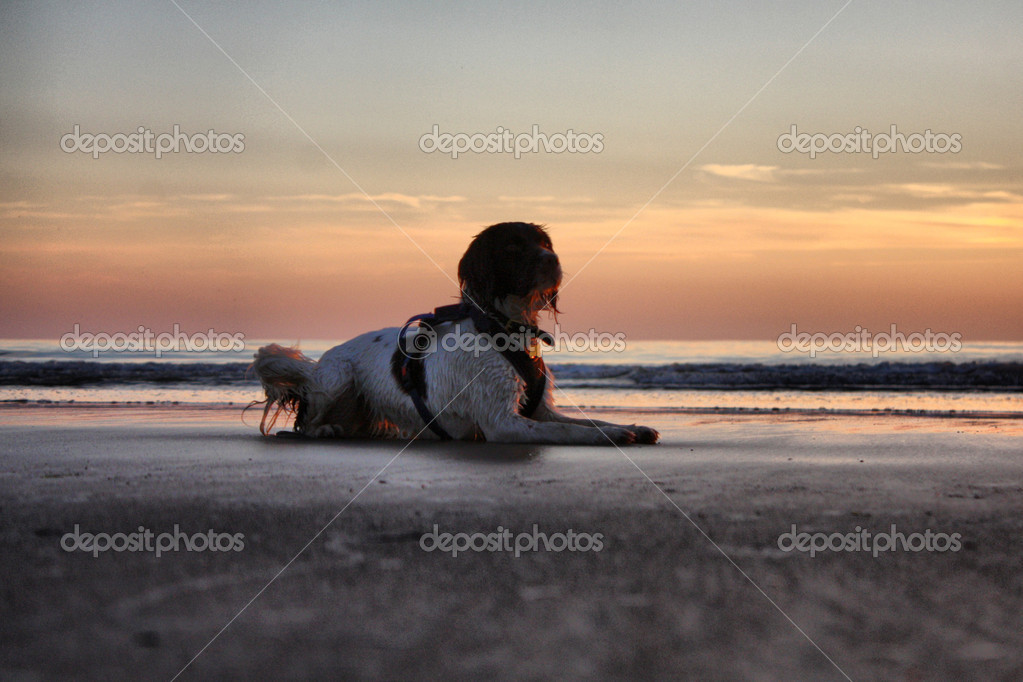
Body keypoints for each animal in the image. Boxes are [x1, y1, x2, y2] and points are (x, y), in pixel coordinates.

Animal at [251, 223, 658, 445]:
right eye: (512, 247)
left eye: (545, 243)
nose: (553, 261)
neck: (503, 327)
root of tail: (319, 364)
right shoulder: (502, 423)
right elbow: (572, 432)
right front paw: (615, 436)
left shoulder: (540, 410)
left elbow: (588, 421)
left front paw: (632, 426)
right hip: (337, 378)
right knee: (305, 423)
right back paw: (324, 430)